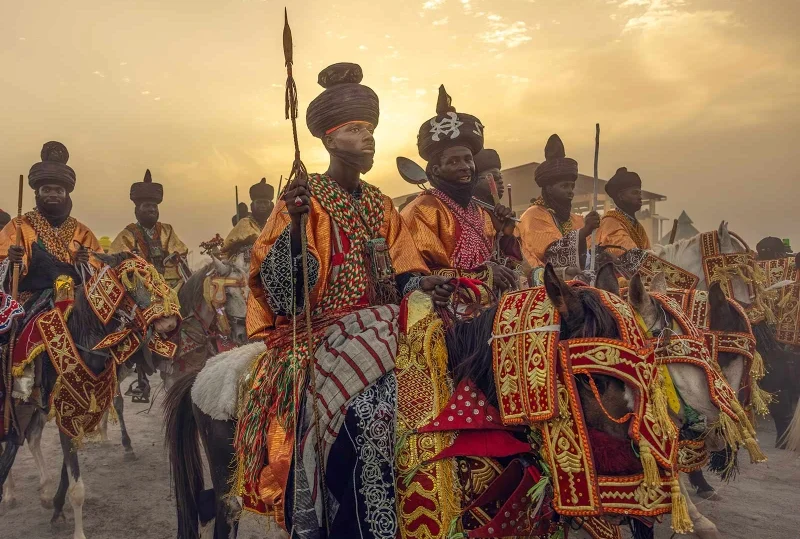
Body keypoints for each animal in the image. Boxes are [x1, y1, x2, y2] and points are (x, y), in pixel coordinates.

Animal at [0, 250, 180, 539]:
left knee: (31, 438)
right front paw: (77, 530)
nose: (169, 321)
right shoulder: (65, 413)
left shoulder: (76, 412)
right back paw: (10, 493)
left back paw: (43, 491)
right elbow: (76, 487)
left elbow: (67, 474)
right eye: (130, 276)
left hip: (32, 404)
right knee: (11, 441)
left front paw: (56, 508)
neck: (82, 340)